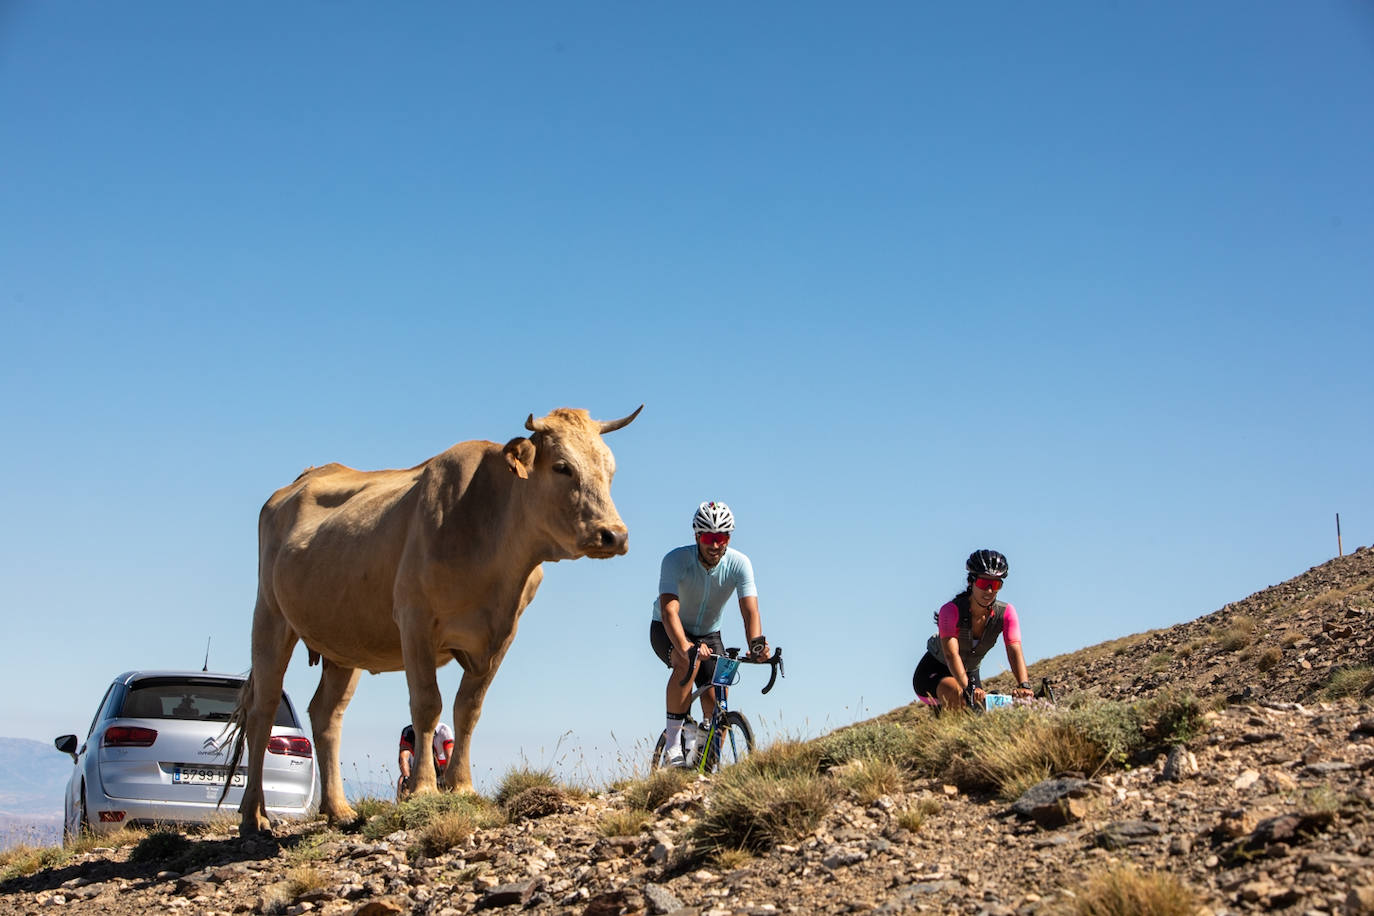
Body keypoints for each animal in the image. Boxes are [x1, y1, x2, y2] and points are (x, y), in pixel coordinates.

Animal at [219, 403, 637, 834]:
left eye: (610, 469)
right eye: (562, 467)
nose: (614, 535)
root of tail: (299, 481)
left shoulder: (501, 635)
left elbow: (468, 709)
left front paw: (461, 785)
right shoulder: (415, 622)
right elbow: (427, 704)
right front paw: (424, 788)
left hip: (344, 642)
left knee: (326, 714)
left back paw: (337, 809)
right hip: (269, 616)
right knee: (264, 710)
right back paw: (254, 815)